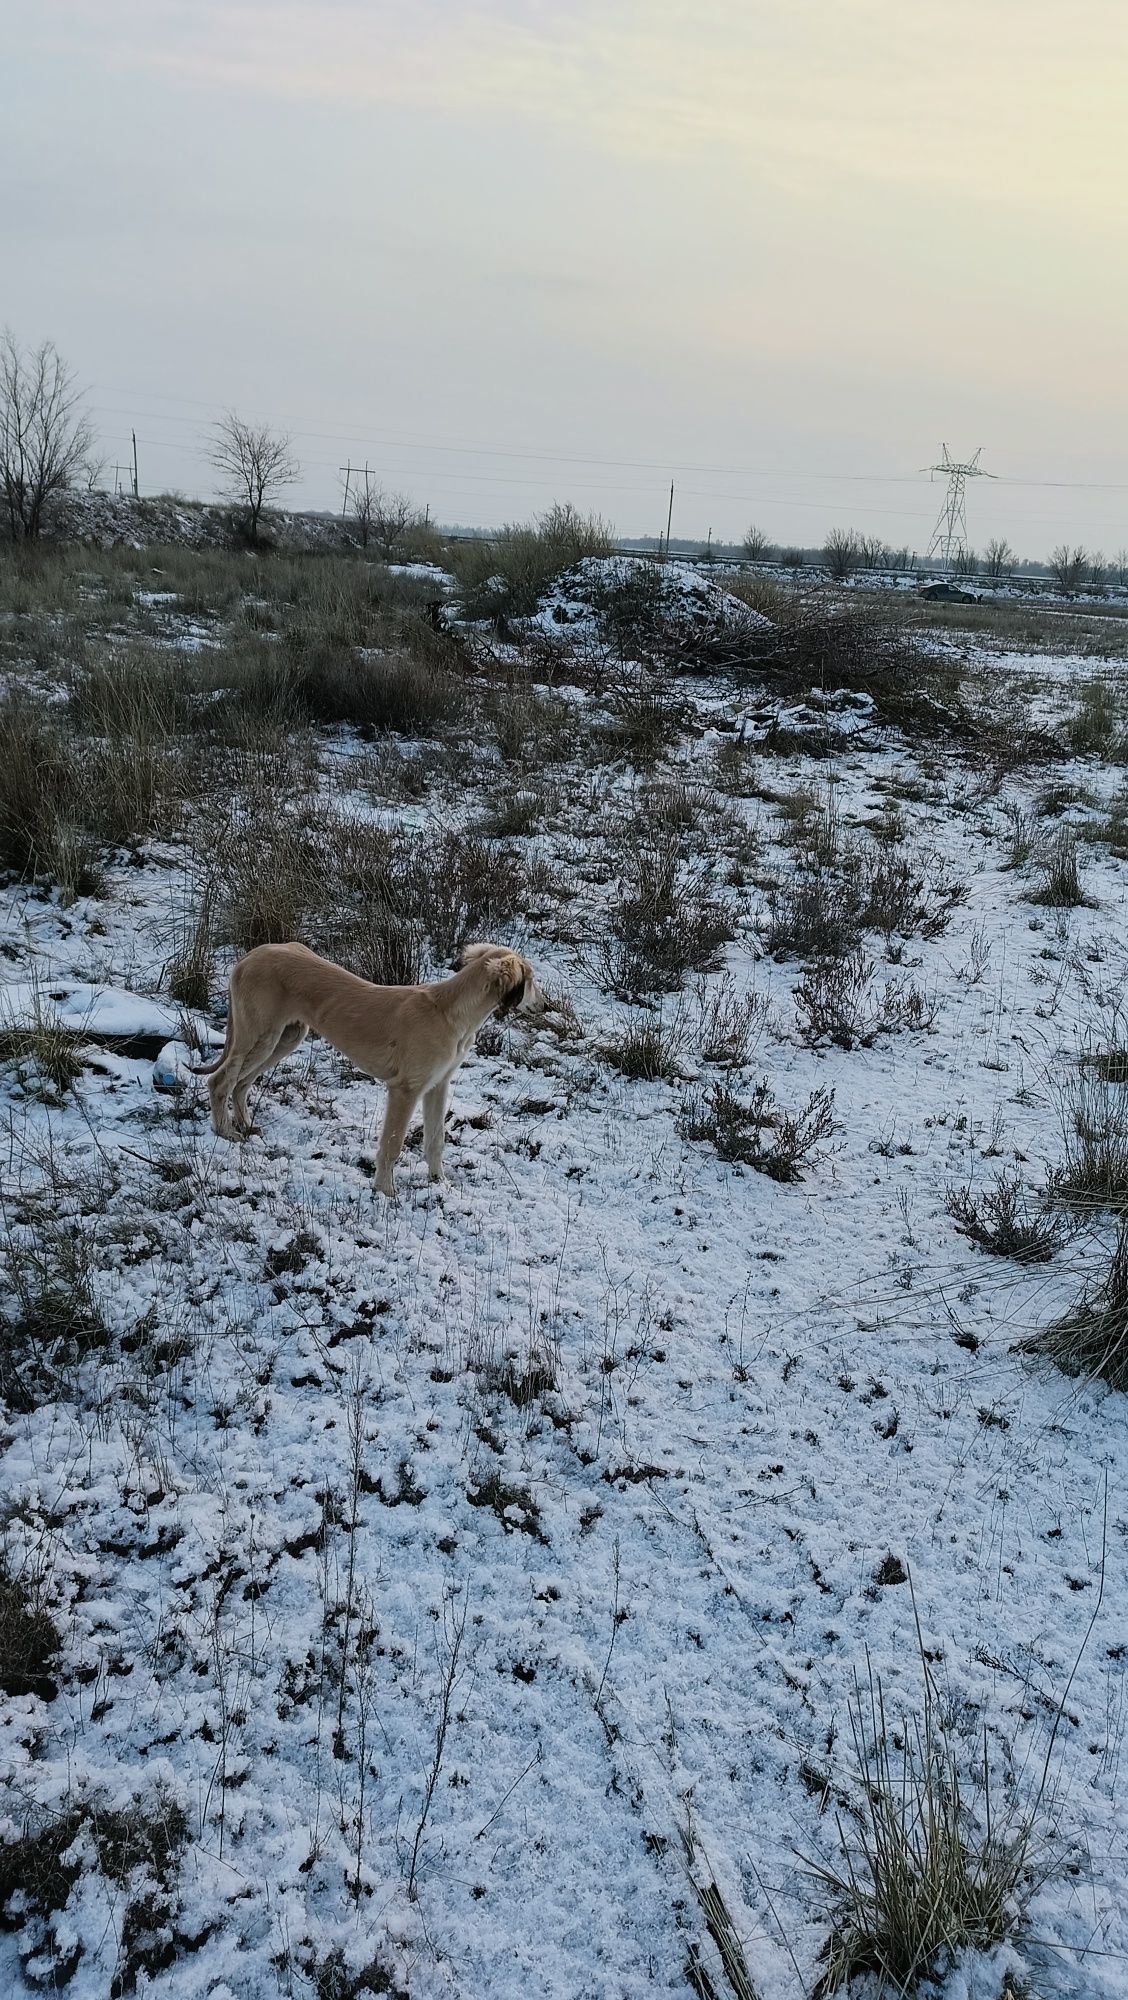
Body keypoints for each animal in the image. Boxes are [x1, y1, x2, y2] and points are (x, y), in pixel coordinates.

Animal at [193, 936, 536, 1184]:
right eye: (531, 980)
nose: (545, 1005)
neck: (449, 1012)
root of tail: (250, 955)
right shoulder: (405, 1089)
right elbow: (392, 1145)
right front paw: (385, 1193)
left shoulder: (438, 1085)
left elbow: (435, 1140)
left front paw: (440, 1184)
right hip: (258, 1033)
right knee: (220, 1080)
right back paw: (225, 1131)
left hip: (285, 1037)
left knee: (242, 1083)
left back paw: (246, 1125)